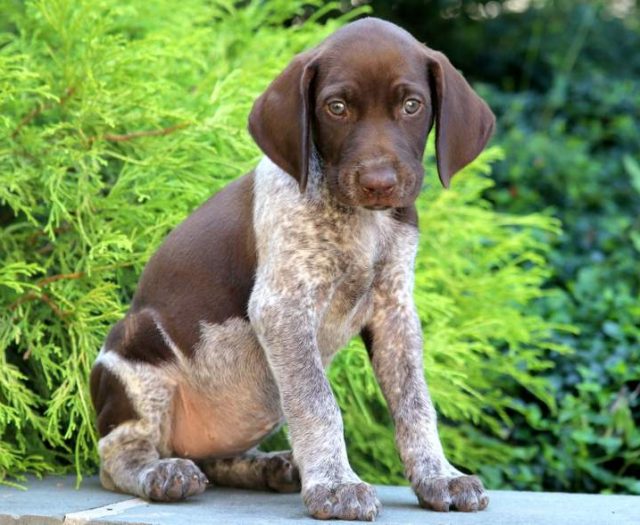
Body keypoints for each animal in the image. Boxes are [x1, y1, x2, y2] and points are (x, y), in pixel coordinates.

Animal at [91, 16, 496, 520]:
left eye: (412, 105)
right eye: (336, 108)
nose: (379, 183)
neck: (361, 222)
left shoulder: (395, 310)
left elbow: (415, 403)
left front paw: (438, 474)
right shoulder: (283, 307)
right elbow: (318, 402)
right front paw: (337, 486)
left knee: (218, 459)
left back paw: (270, 466)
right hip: (134, 361)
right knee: (117, 456)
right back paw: (161, 473)